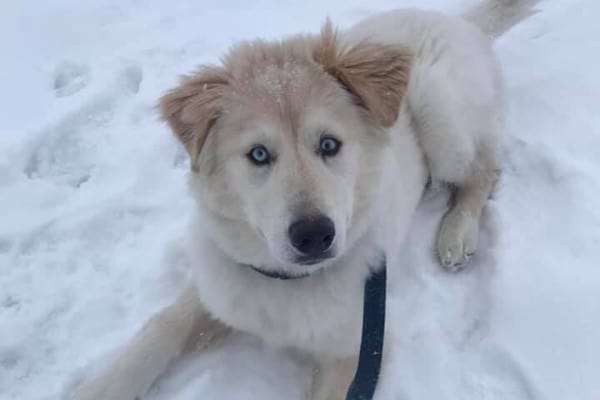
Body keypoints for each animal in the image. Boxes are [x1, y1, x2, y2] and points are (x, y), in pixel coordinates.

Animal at [71, 0, 540, 400]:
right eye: (259, 154)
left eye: (329, 145)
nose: (314, 235)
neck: (287, 283)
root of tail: (457, 21)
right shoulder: (219, 285)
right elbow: (161, 327)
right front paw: (102, 386)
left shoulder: (358, 347)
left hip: (440, 113)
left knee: (484, 171)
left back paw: (457, 233)